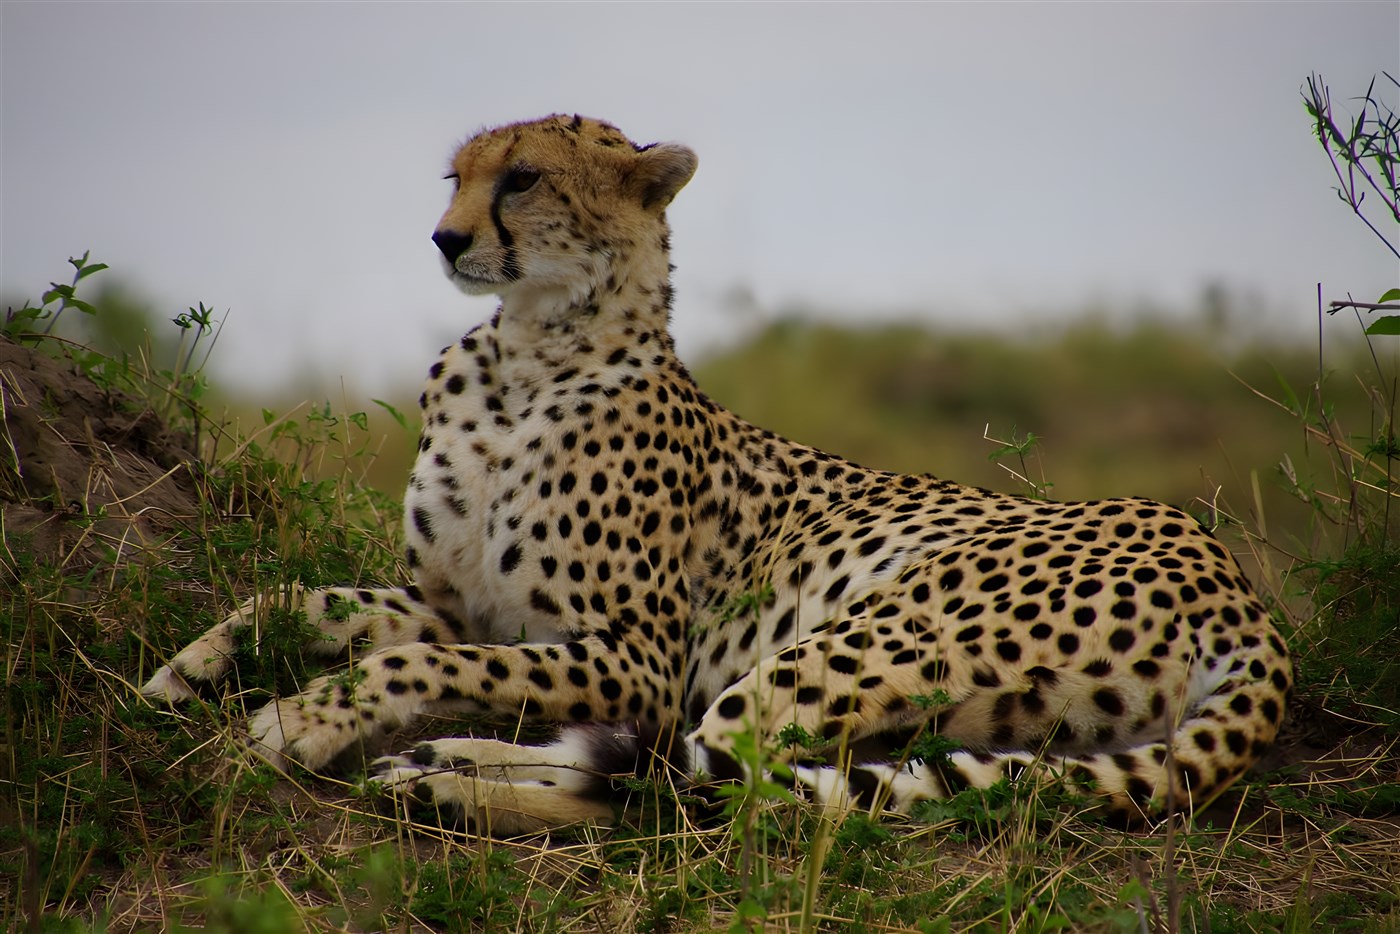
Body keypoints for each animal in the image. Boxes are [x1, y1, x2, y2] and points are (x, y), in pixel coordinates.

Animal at [140, 114, 1293, 835]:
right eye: (454, 178)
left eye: (521, 178)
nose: (444, 237)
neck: (526, 353)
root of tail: (1238, 591)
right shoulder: (458, 606)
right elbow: (304, 599)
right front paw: (185, 671)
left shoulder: (635, 657)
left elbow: (410, 666)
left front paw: (295, 722)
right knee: (696, 767)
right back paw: (445, 765)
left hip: (874, 629)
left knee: (699, 785)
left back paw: (456, 787)